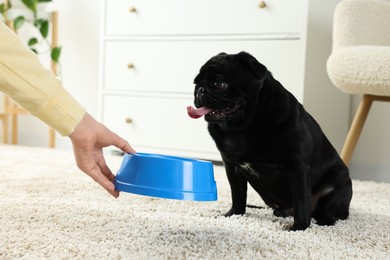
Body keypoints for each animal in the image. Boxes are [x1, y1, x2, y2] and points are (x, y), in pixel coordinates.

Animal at [187, 51, 352, 231]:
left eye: (219, 84)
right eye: (195, 83)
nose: (199, 90)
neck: (242, 128)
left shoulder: (297, 168)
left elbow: (301, 201)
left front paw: (299, 227)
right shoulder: (231, 167)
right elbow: (237, 195)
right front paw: (233, 214)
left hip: (336, 190)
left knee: (327, 212)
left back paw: (322, 221)